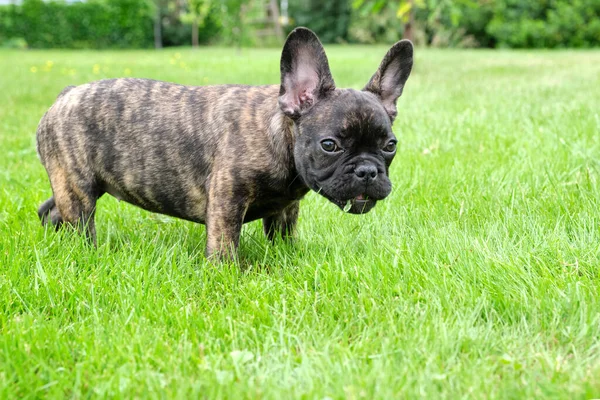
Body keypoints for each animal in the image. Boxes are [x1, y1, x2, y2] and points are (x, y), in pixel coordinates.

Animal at [36, 28, 412, 260]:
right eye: (330, 145)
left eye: (390, 145)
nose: (368, 171)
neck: (278, 138)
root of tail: (64, 95)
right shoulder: (228, 199)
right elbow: (225, 242)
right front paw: (226, 271)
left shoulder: (285, 207)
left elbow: (284, 235)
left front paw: (287, 256)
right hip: (79, 187)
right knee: (79, 220)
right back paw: (85, 251)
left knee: (50, 209)